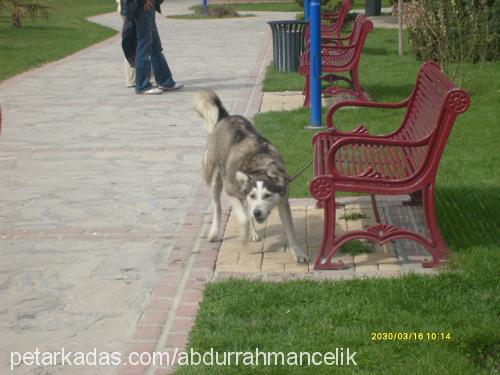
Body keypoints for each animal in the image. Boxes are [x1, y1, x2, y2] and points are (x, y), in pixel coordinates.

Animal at [194, 90, 308, 264]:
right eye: (253, 195)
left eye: (267, 195)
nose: (258, 213)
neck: (259, 166)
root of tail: (225, 117)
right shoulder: (231, 192)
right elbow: (244, 219)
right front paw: (243, 235)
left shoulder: (282, 201)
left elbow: (291, 231)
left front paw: (298, 252)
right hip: (214, 180)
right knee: (218, 207)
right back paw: (215, 231)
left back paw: (253, 232)